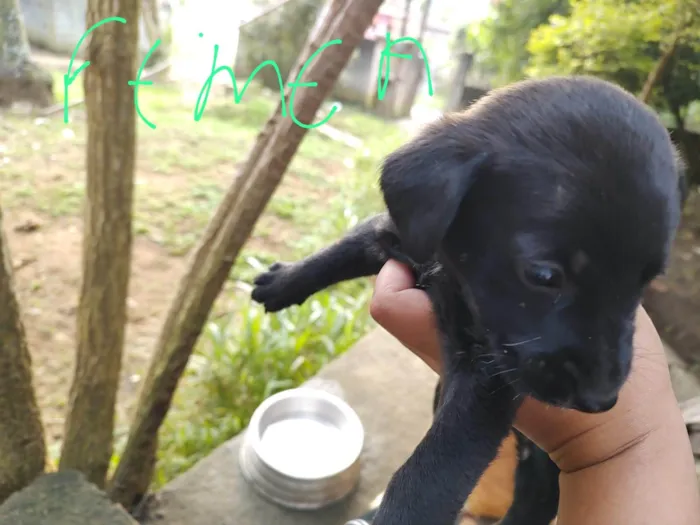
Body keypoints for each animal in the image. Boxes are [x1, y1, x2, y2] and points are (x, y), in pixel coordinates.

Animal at [249, 77, 680, 524]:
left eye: (645, 282)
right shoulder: (397, 235)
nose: (601, 401)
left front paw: (401, 513)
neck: (452, 271)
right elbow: (341, 249)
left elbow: (433, 468)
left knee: (539, 495)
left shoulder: (487, 381)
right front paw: (283, 282)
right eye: (545, 276)